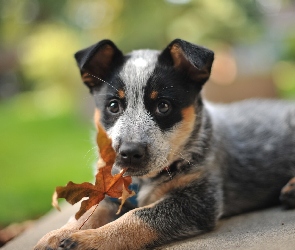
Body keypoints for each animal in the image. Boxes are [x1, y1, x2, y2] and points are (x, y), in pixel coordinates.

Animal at [34, 39, 295, 250]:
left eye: (163, 106)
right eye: (113, 106)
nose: (129, 153)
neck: (141, 182)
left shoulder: (198, 200)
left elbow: (138, 217)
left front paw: (87, 241)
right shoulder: (109, 194)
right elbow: (86, 212)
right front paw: (54, 236)